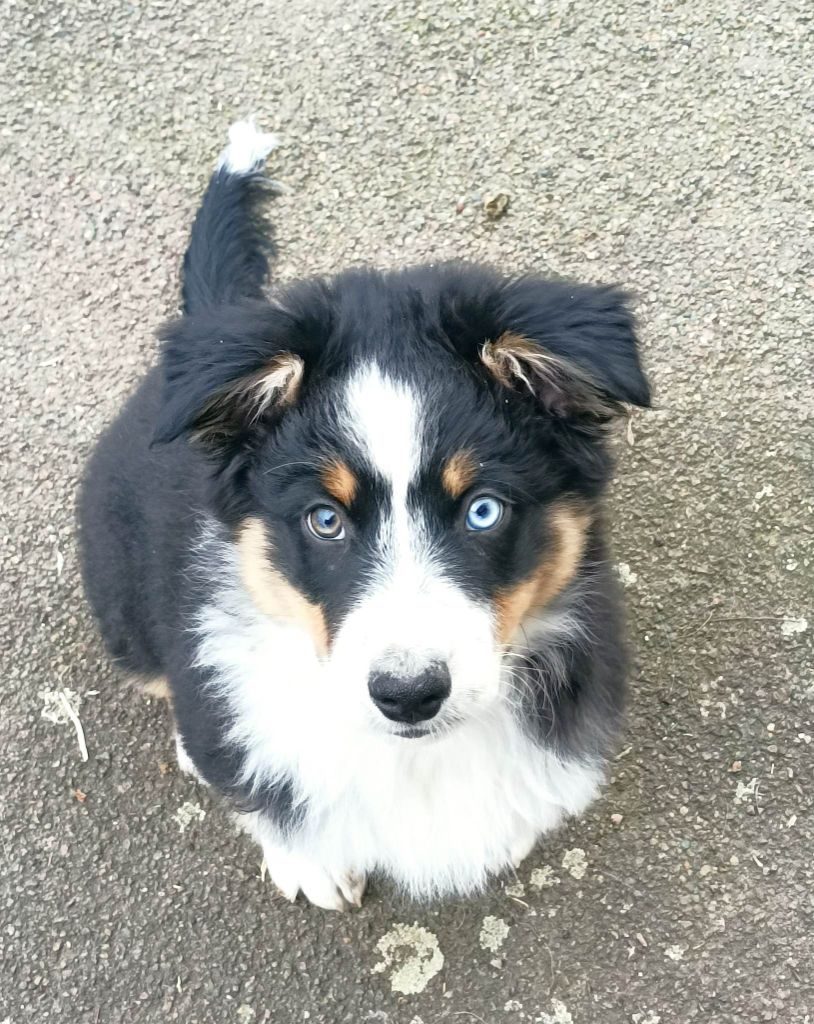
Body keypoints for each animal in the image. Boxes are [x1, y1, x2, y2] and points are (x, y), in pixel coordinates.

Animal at [78, 120, 650, 909]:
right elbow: (267, 798)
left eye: (483, 510)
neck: (418, 757)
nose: (408, 696)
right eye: (326, 520)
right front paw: (309, 862)